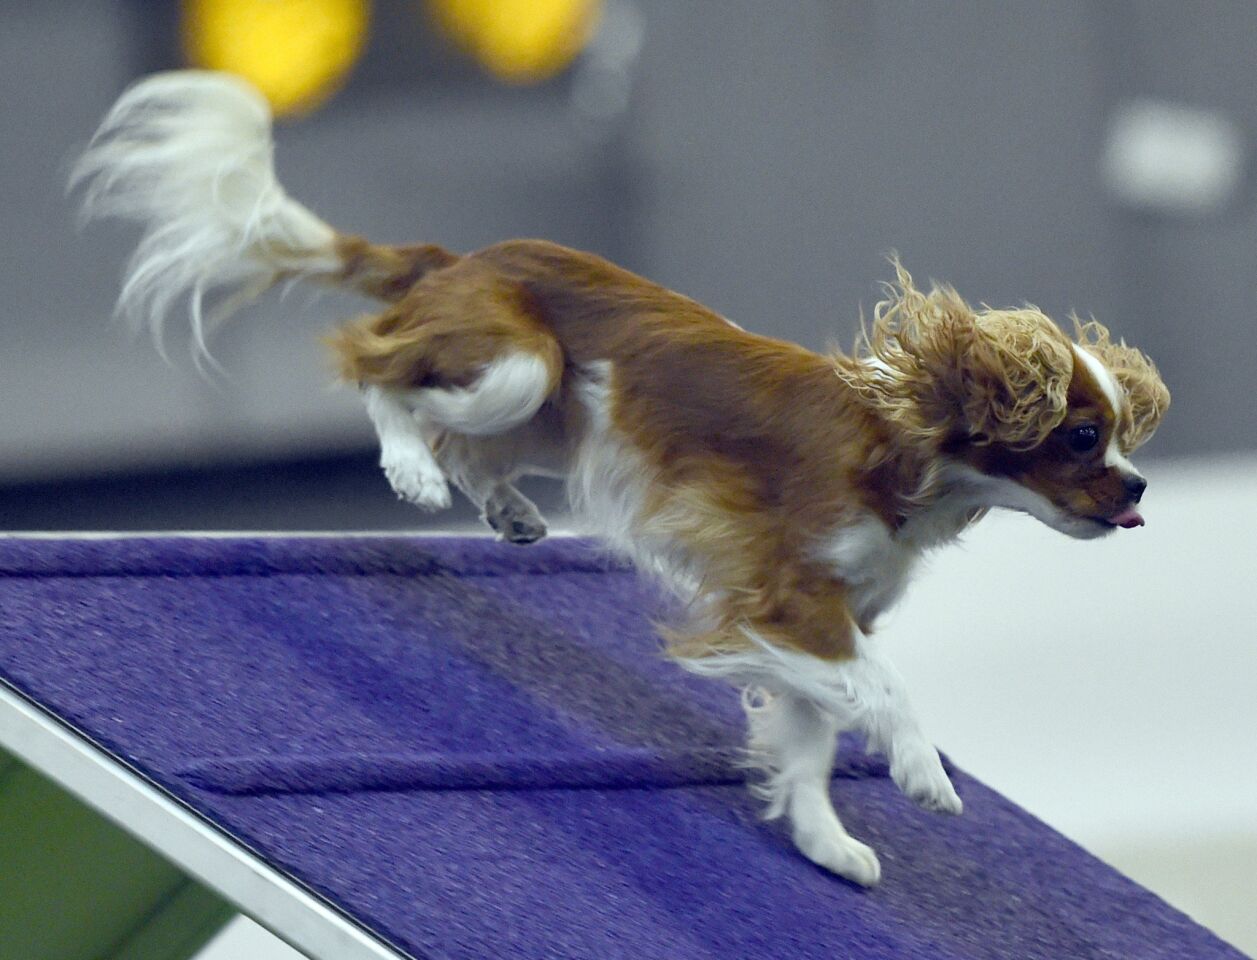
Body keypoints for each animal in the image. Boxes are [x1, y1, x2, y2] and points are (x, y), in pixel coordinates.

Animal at [76, 75, 1166, 884]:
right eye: (1081, 436)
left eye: (1121, 437)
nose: (1140, 491)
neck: (906, 446)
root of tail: (459, 256)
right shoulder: (789, 597)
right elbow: (878, 687)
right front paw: (921, 771)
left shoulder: (813, 617)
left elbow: (812, 730)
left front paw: (824, 840)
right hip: (514, 366)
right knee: (375, 368)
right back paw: (409, 469)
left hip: (554, 414)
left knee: (467, 442)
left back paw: (509, 512)